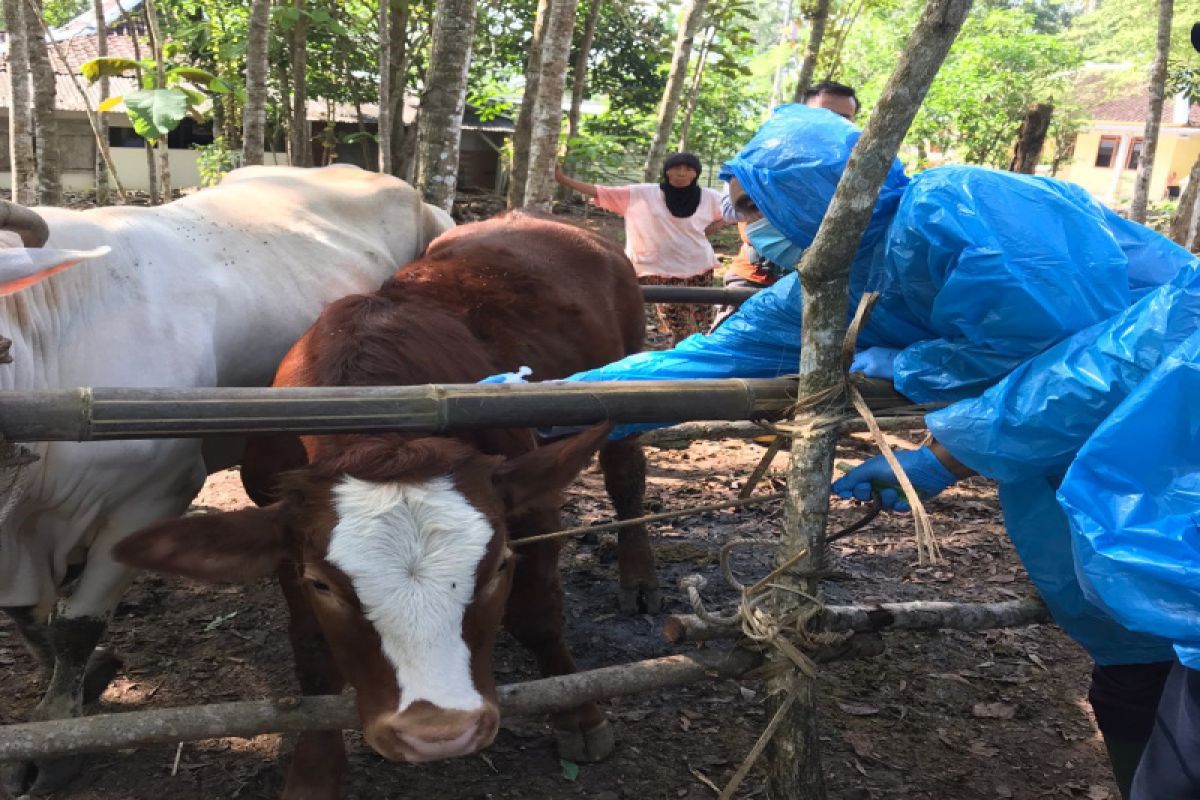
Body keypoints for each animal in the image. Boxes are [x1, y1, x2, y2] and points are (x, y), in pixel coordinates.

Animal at [114, 212, 657, 800]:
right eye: (321, 584)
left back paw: (638, 576)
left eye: (498, 568)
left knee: (626, 474)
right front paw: (315, 770)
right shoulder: (280, 528)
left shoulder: (529, 499)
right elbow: (312, 650)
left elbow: (536, 614)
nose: (437, 733)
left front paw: (578, 714)